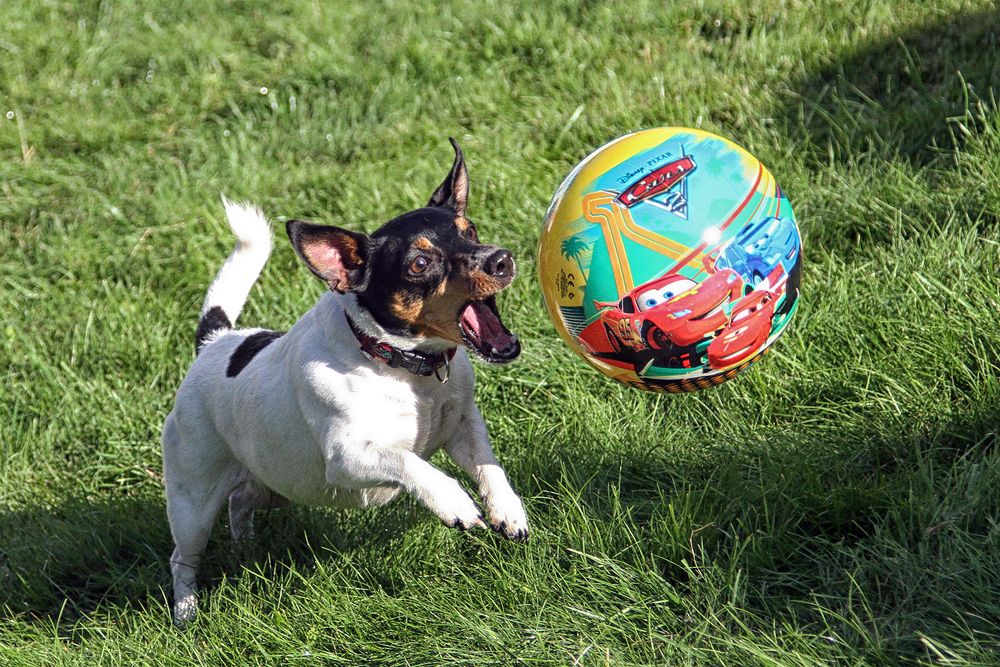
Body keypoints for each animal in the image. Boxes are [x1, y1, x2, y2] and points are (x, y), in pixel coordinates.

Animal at [160, 140, 528, 628]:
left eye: (471, 230)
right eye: (420, 263)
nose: (500, 257)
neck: (403, 366)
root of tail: (214, 341)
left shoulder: (464, 426)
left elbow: (490, 467)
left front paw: (507, 509)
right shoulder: (348, 456)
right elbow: (411, 463)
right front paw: (455, 503)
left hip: (278, 482)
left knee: (241, 502)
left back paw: (246, 547)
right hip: (193, 501)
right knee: (183, 557)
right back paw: (186, 612)